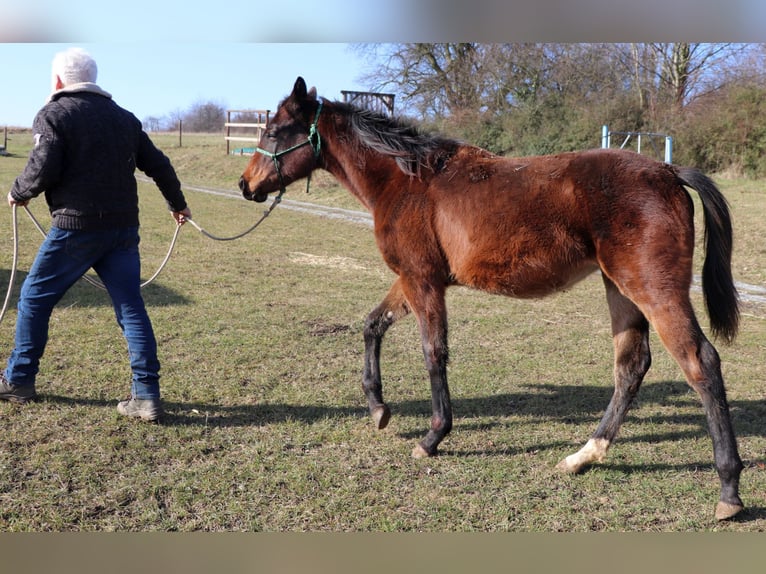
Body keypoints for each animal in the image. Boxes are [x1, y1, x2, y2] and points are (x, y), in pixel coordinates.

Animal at [239, 77, 744, 521]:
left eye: (273, 130)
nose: (246, 185)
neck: (406, 181)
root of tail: (669, 171)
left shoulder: (423, 282)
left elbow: (433, 353)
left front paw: (432, 437)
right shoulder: (411, 279)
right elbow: (372, 325)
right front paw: (379, 409)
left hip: (652, 290)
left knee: (700, 362)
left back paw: (729, 489)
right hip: (619, 290)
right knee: (631, 366)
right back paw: (583, 456)